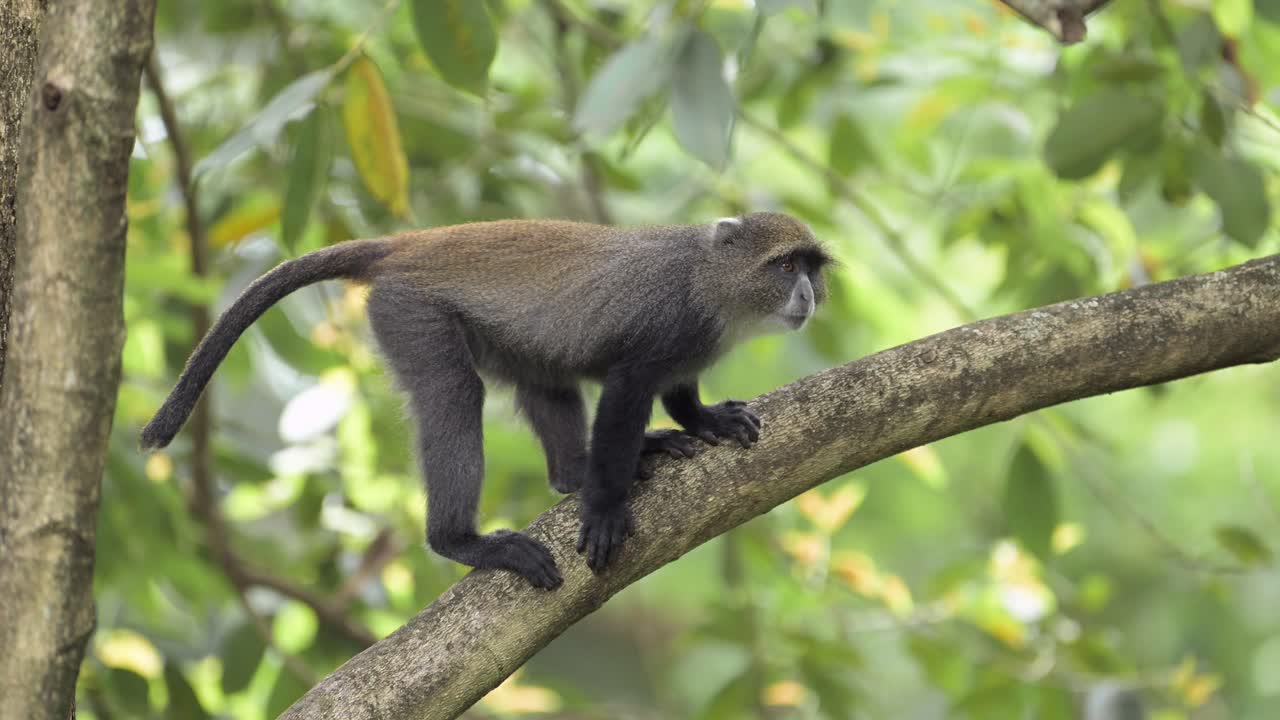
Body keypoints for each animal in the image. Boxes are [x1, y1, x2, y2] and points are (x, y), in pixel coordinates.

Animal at [141, 211, 830, 589]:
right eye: (784, 266)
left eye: (811, 267)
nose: (808, 296)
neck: (709, 280)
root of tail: (408, 244)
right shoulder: (669, 326)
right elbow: (627, 390)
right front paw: (606, 511)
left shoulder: (692, 349)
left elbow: (678, 392)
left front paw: (704, 418)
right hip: (409, 312)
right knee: (455, 392)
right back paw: (462, 540)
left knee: (546, 378)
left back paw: (576, 471)